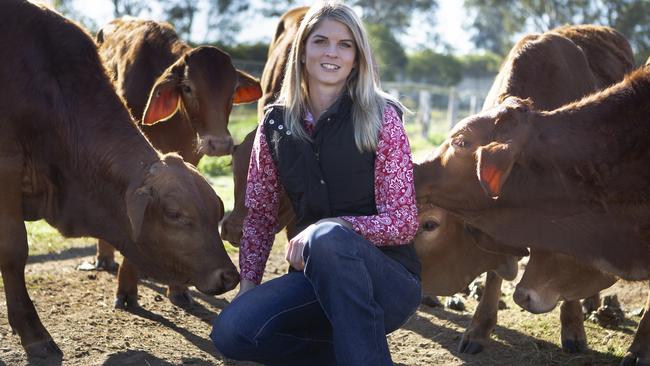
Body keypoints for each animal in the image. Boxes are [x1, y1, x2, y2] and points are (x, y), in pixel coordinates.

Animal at [89, 17, 260, 308]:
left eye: (233, 91)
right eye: (188, 87)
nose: (219, 144)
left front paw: (178, 287)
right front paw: (126, 289)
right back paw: (105, 257)